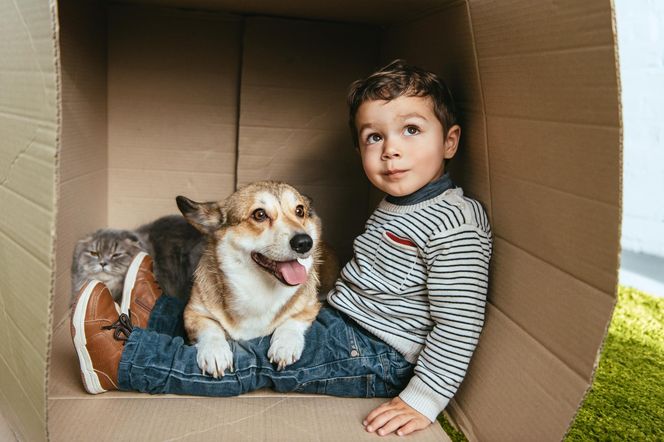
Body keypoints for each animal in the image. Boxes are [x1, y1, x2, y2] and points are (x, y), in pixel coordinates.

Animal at [176, 180, 338, 376]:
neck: (260, 287)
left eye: (300, 211)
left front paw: (285, 345)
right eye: (259, 214)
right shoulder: (192, 312)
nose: (305, 243)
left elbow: (292, 321)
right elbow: (210, 328)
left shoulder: (311, 306)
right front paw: (215, 352)